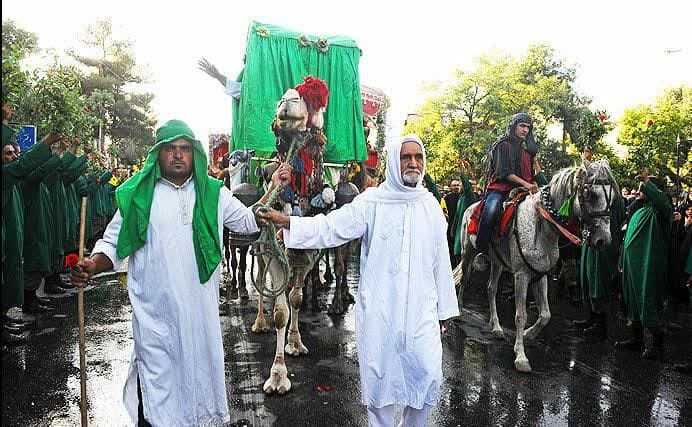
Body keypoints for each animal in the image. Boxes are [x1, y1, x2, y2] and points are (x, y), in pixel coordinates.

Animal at [456, 159, 620, 372]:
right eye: (589, 194)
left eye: (613, 197)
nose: (603, 240)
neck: (542, 226)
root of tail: (471, 207)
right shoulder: (521, 275)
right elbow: (521, 315)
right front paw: (521, 357)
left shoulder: (540, 275)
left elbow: (545, 315)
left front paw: (528, 334)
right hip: (468, 252)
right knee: (465, 280)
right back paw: (459, 311)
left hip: (498, 262)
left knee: (491, 288)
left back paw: (496, 326)